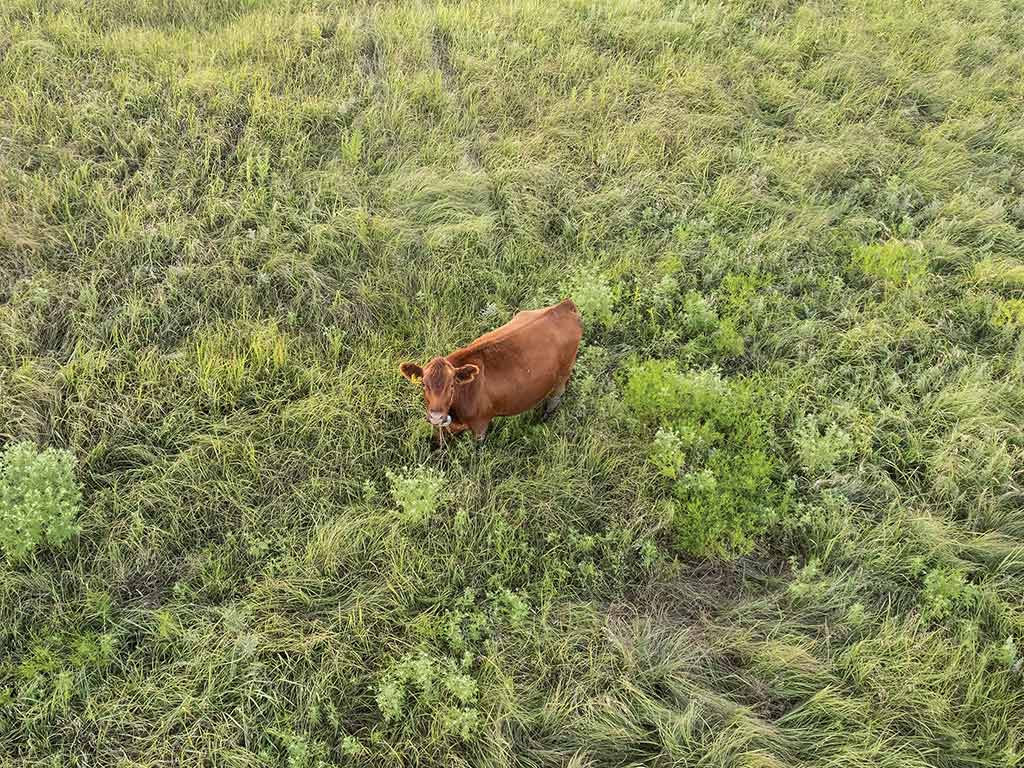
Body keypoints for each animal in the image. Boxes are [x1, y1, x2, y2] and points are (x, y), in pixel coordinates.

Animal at [399, 301, 585, 444]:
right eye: (424, 384)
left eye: (452, 385)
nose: (436, 417)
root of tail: (564, 305)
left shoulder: (480, 426)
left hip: (563, 373)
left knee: (556, 396)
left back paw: (544, 417)